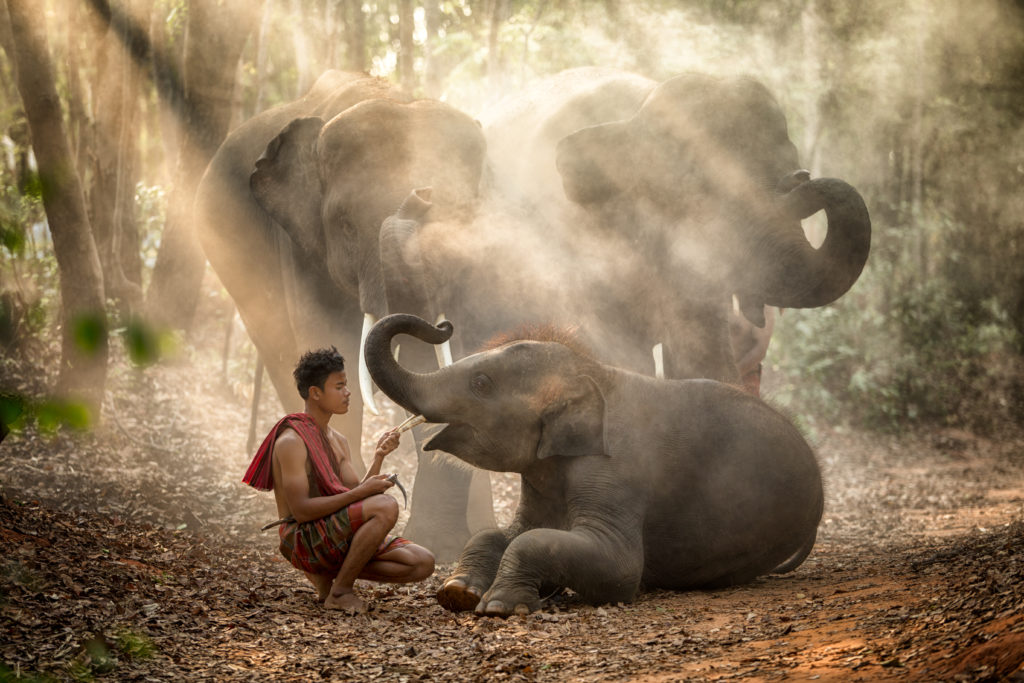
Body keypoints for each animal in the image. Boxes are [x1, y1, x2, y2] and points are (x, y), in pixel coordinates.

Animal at [194, 69, 495, 561]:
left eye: (464, 220)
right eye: (347, 226)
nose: (422, 193)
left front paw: (446, 545)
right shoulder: (298, 242)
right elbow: (326, 336)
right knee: (279, 348)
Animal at [364, 313, 819, 618]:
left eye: (481, 384)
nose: (443, 324)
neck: (594, 372)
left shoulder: (614, 470)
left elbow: (616, 566)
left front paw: (499, 607)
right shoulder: (543, 473)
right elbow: (508, 532)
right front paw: (457, 593)